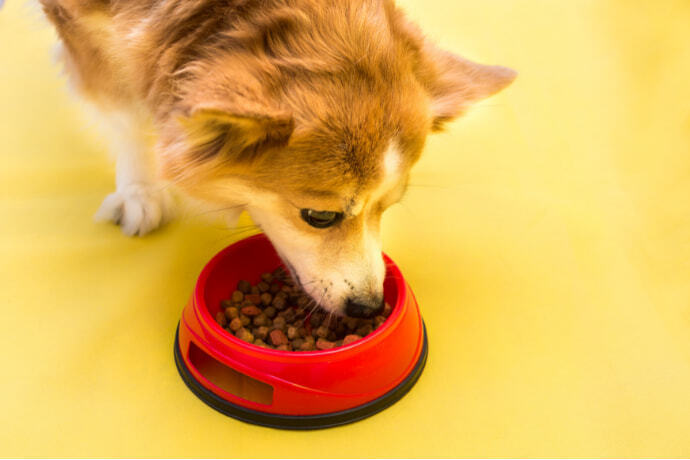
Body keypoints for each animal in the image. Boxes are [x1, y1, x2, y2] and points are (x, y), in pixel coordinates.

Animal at [37, 0, 510, 316]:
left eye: (386, 208)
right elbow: (127, 109)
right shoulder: (77, 20)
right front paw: (140, 191)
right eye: (319, 217)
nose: (369, 308)